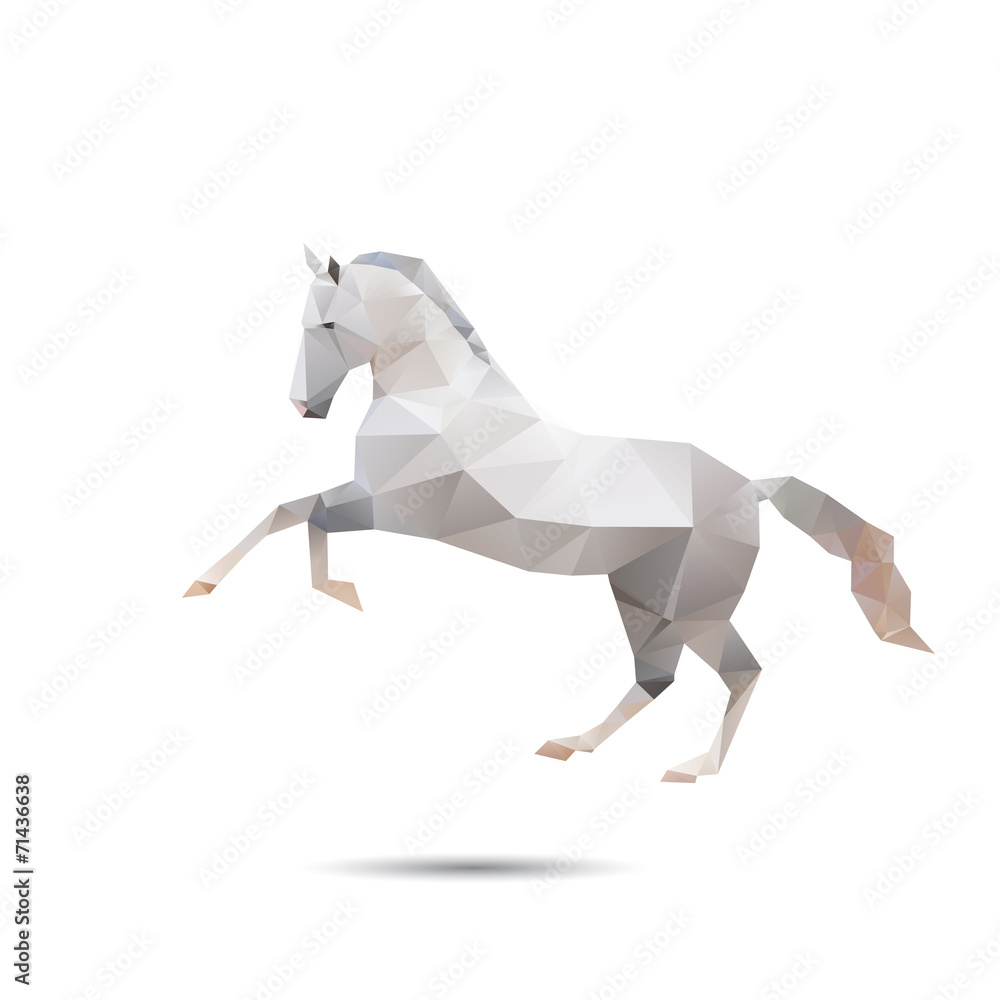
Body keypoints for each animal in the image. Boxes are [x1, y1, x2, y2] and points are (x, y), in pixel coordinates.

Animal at [186, 248, 929, 782]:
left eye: (329, 325)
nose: (303, 409)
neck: (436, 401)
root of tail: (751, 489)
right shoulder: (375, 504)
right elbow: (294, 512)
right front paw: (280, 586)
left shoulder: (389, 509)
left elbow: (297, 512)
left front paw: (292, 589)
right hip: (642, 596)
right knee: (655, 678)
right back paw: (572, 746)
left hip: (695, 608)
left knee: (741, 674)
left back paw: (693, 771)